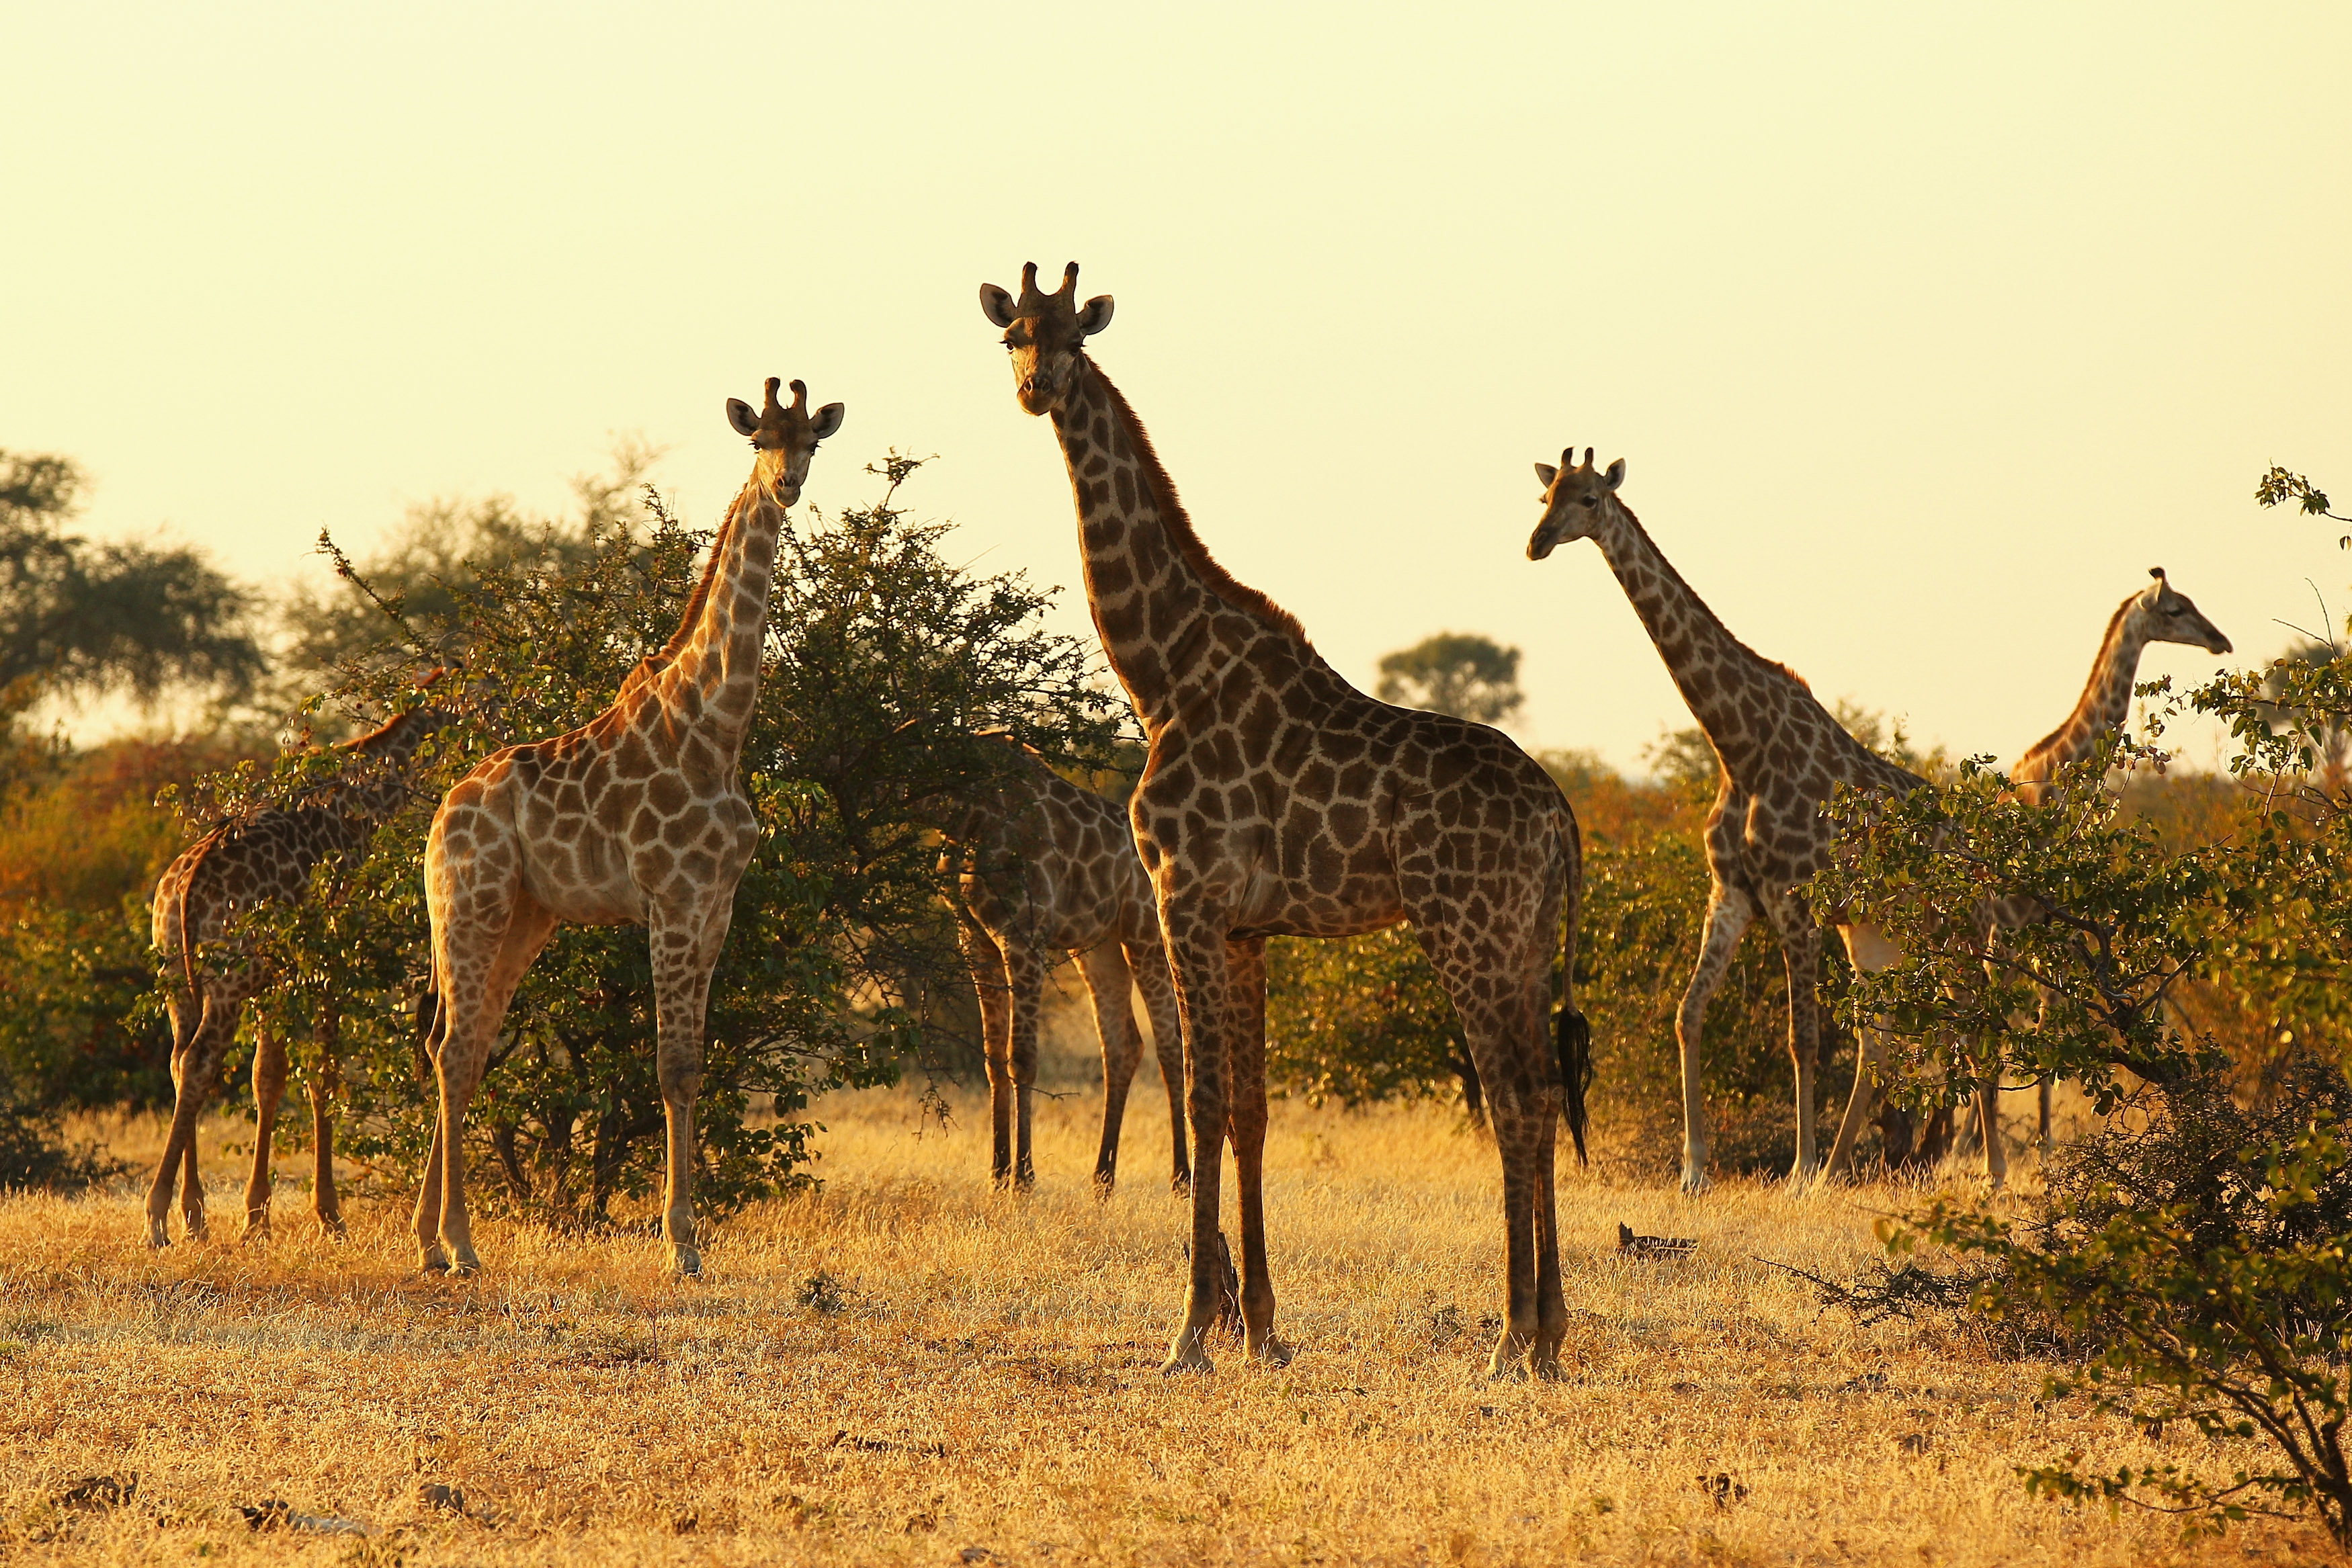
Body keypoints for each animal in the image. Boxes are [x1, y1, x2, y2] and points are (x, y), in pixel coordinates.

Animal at [146, 691, 449, 1250]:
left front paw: (256, 1218)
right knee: (199, 1061)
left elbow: (268, 1075)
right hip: (230, 978)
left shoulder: (282, 977)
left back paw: (194, 1215)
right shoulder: (332, 959)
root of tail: (184, 886)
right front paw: (330, 1215)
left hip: (177, 975)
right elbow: (323, 1074)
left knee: (179, 1063)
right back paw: (157, 1216)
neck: (369, 803)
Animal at [421, 376, 847, 1278]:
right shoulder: (673, 900)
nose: (787, 484)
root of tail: (436, 821)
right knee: (452, 1049)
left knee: (467, 1045)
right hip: (470, 905)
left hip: (526, 916)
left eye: (812, 442)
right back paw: (460, 1246)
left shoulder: (717, 905)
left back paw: (433, 1243)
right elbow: (671, 1067)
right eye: (757, 438)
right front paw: (681, 1244)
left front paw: (689, 1237)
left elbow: (694, 1066)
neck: (717, 726)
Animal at [941, 733, 1195, 1189]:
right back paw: (1103, 1178)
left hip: (1145, 938)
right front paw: (998, 1172)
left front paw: (1023, 1177)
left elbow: (1022, 1057)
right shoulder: (973, 936)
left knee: (1169, 1044)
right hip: (1100, 947)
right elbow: (992, 1056)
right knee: (1122, 1044)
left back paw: (1181, 1177)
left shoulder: (1024, 932)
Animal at [983, 263, 1590, 1382]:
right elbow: (1254, 1112)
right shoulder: (1248, 929)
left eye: (1074, 338)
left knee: (1517, 1098)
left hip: (1466, 929)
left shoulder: (1185, 898)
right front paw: (1261, 1325)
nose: (1037, 388)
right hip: (1524, 937)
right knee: (1538, 1087)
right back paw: (1549, 1333)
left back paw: (1512, 1338)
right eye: (1012, 334)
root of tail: (1562, 817)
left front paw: (1189, 1331)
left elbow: (1204, 1101)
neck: (1162, 675)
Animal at [1515, 451, 1938, 1189]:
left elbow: (1802, 1039)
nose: (1537, 543)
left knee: (1967, 1029)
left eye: (1590, 499)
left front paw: (1797, 1170)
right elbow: (1687, 1016)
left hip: (1943, 927)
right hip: (1874, 931)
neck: (1738, 748)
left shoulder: (1793, 900)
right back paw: (1860, 1165)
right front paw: (1693, 1170)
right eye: (1545, 496)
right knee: (1884, 1042)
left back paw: (1970, 1166)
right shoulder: (1732, 895)